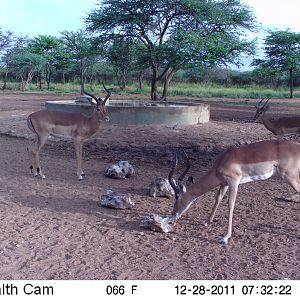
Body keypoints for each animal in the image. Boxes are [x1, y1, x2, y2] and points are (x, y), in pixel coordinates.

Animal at [169, 140, 300, 244]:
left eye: (177, 196)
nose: (173, 214)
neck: (222, 161)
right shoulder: (224, 184)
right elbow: (217, 199)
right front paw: (206, 222)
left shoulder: (233, 181)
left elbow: (230, 204)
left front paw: (225, 237)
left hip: (290, 178)